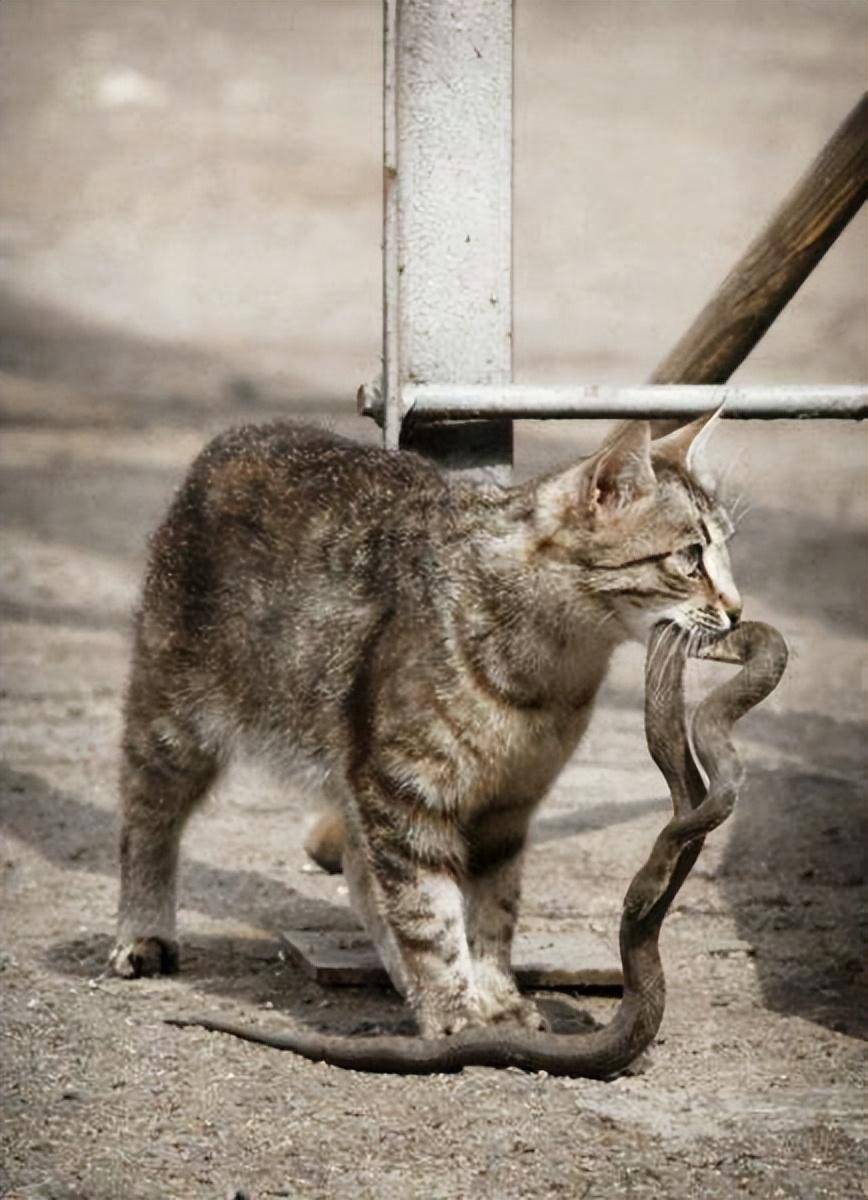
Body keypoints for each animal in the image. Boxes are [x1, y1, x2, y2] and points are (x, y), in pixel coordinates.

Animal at [108, 417, 739, 1036]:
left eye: (725, 550)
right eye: (690, 557)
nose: (736, 609)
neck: (552, 668)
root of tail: (236, 435)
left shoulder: (507, 806)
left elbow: (491, 913)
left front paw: (494, 998)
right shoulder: (405, 788)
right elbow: (428, 911)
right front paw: (454, 1014)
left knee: (361, 871)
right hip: (172, 719)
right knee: (147, 820)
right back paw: (143, 932)